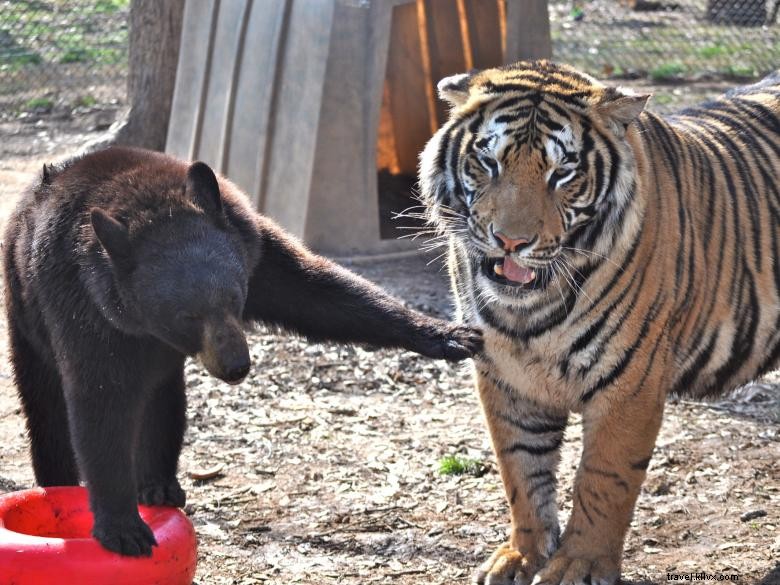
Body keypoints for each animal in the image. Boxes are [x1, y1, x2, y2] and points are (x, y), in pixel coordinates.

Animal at [4, 147, 482, 556]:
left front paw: (450, 335)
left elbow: (319, 294)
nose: (236, 366)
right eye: (186, 315)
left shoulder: (254, 248)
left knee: (163, 402)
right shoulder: (86, 309)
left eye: (235, 297)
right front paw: (123, 528)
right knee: (46, 407)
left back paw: (159, 485)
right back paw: (60, 482)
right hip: (25, 316)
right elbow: (99, 401)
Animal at [418, 60, 780, 584]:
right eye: (489, 161)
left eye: (562, 173)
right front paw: (521, 556)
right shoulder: (504, 377)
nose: (511, 241)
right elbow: (520, 472)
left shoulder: (629, 383)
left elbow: (603, 480)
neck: (528, 309)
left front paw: (579, 566)